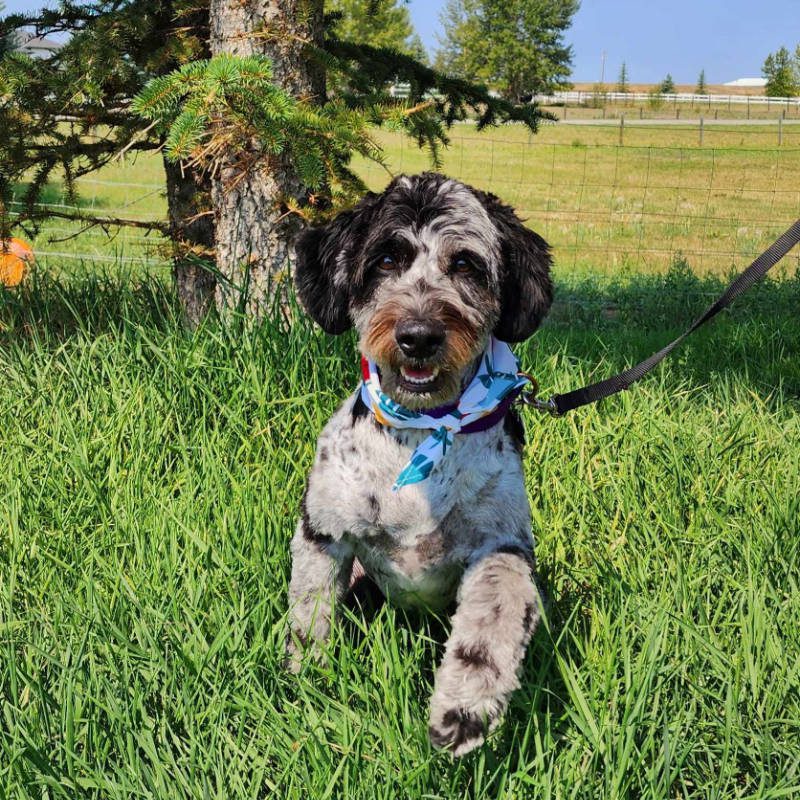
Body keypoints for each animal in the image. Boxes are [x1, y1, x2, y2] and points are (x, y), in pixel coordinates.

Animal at [288, 172, 556, 752]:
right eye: (386, 259)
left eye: (466, 265)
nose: (418, 336)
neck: (421, 435)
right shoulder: (324, 531)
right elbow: (309, 611)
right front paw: (305, 680)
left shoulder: (501, 547)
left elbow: (491, 625)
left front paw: (463, 711)